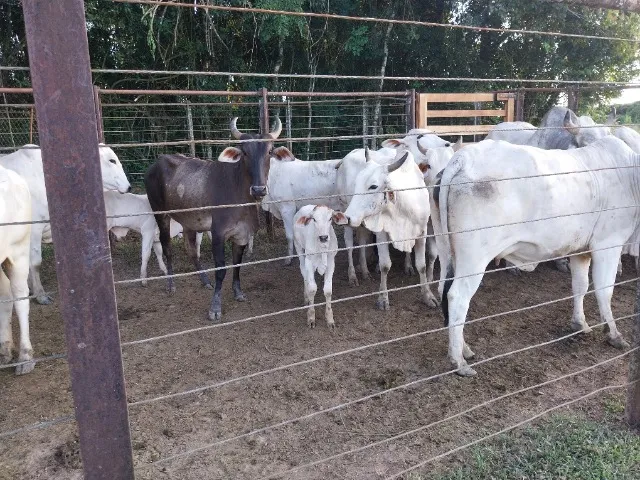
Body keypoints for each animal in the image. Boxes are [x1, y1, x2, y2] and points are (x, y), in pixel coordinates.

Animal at [145, 118, 290, 321]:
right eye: (245, 152)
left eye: (269, 151)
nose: (259, 190)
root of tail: (156, 163)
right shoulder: (218, 233)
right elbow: (221, 269)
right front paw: (215, 307)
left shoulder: (242, 235)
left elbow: (237, 264)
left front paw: (238, 292)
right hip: (160, 213)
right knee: (167, 248)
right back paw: (171, 284)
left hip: (189, 221)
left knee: (191, 250)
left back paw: (204, 280)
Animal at [335, 151, 439, 310]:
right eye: (357, 183)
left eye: (373, 186)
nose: (348, 217)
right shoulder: (382, 234)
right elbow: (385, 265)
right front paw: (383, 298)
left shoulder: (421, 232)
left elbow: (421, 265)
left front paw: (428, 296)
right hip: (343, 206)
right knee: (349, 245)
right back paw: (352, 275)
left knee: (362, 241)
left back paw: (365, 271)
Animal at [436, 137, 637, 377]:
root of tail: (463, 157)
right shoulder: (608, 244)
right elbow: (605, 291)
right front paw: (614, 334)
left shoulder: (581, 252)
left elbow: (580, 286)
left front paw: (580, 324)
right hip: (475, 258)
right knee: (457, 297)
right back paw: (459, 361)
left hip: (449, 253)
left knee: (445, 291)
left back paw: (464, 349)